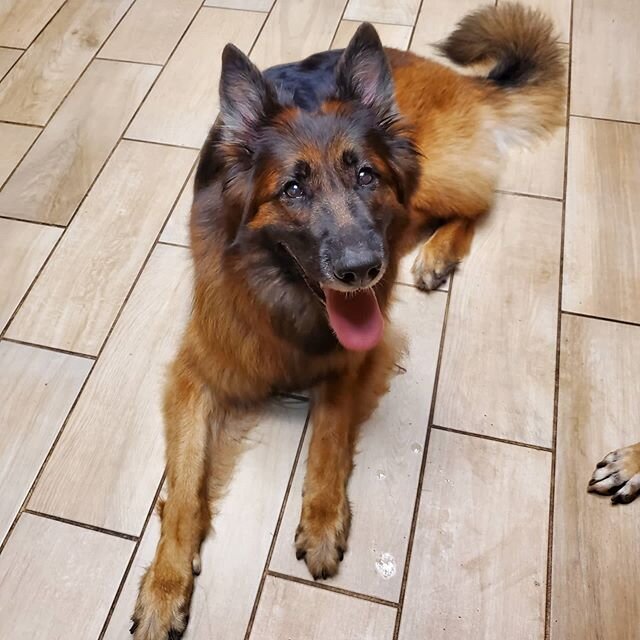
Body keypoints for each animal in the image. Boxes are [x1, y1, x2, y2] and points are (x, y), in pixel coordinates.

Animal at [130, 3, 564, 636]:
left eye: (365, 176)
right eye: (292, 189)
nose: (362, 269)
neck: (289, 296)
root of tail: (442, 72)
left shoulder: (358, 357)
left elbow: (331, 433)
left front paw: (322, 520)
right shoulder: (193, 378)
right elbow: (185, 487)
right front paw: (165, 586)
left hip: (431, 180)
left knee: (479, 205)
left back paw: (437, 254)